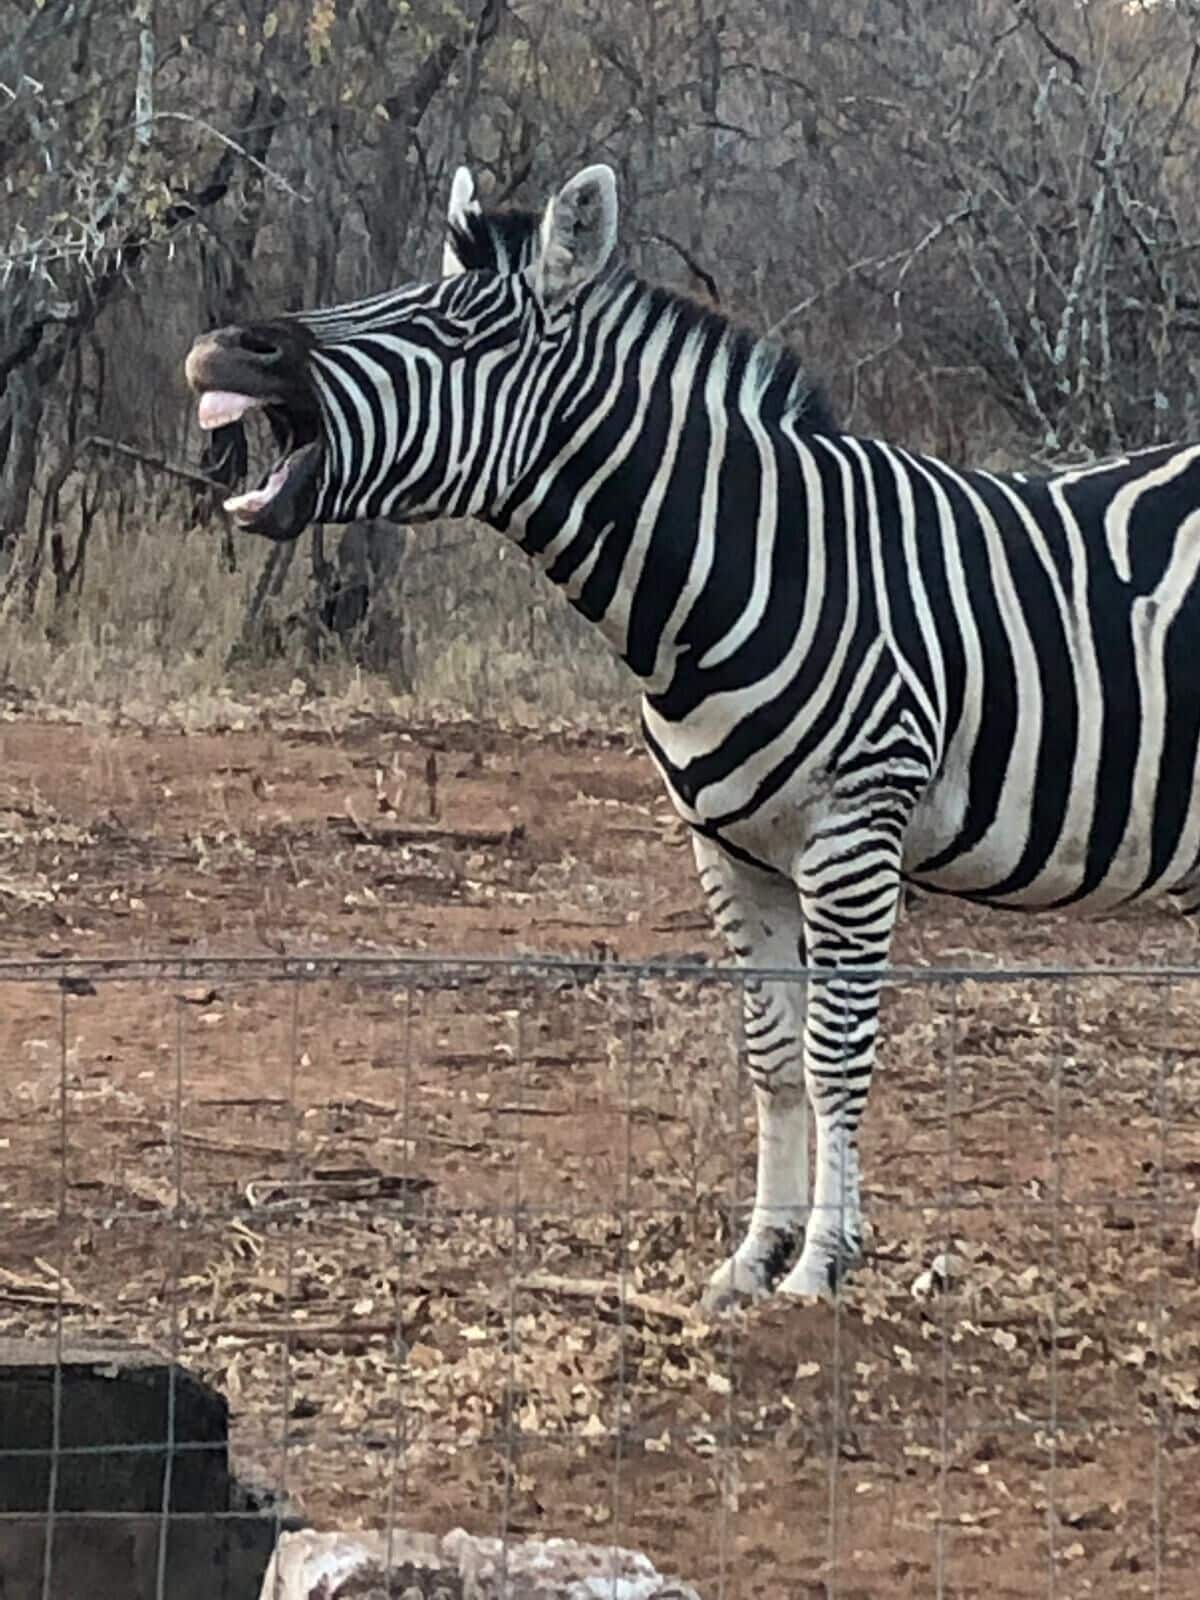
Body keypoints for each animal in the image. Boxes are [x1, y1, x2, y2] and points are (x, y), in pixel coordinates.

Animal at [185, 162, 1200, 1305]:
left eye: (449, 326)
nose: (222, 347)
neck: (750, 567)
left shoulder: (856, 832)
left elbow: (835, 1055)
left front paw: (821, 1266)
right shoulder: (729, 847)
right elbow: (770, 1053)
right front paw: (756, 1256)